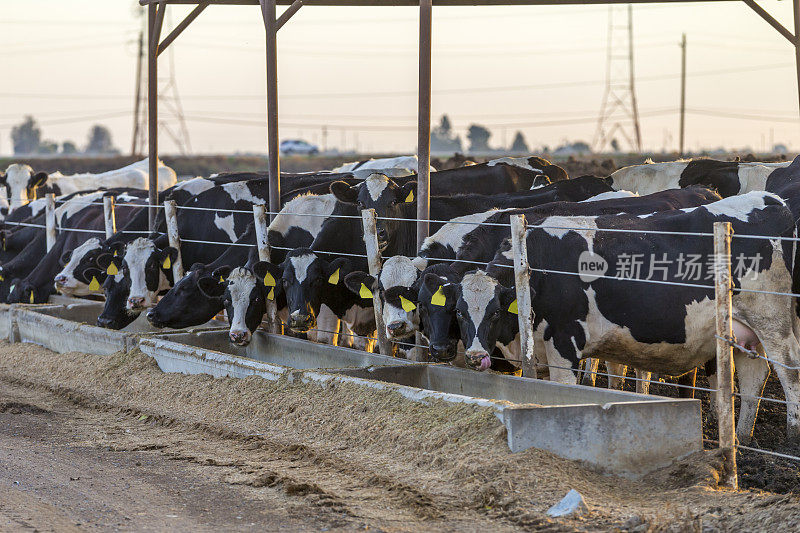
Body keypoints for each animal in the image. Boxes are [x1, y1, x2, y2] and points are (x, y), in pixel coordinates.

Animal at [456, 191, 800, 440]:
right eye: (459, 313)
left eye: (495, 312)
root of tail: (771, 200)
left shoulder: (564, 342)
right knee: (755, 378)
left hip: (772, 320)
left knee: (789, 369)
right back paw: (742, 438)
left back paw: (792, 435)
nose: (473, 356)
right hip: (743, 330)